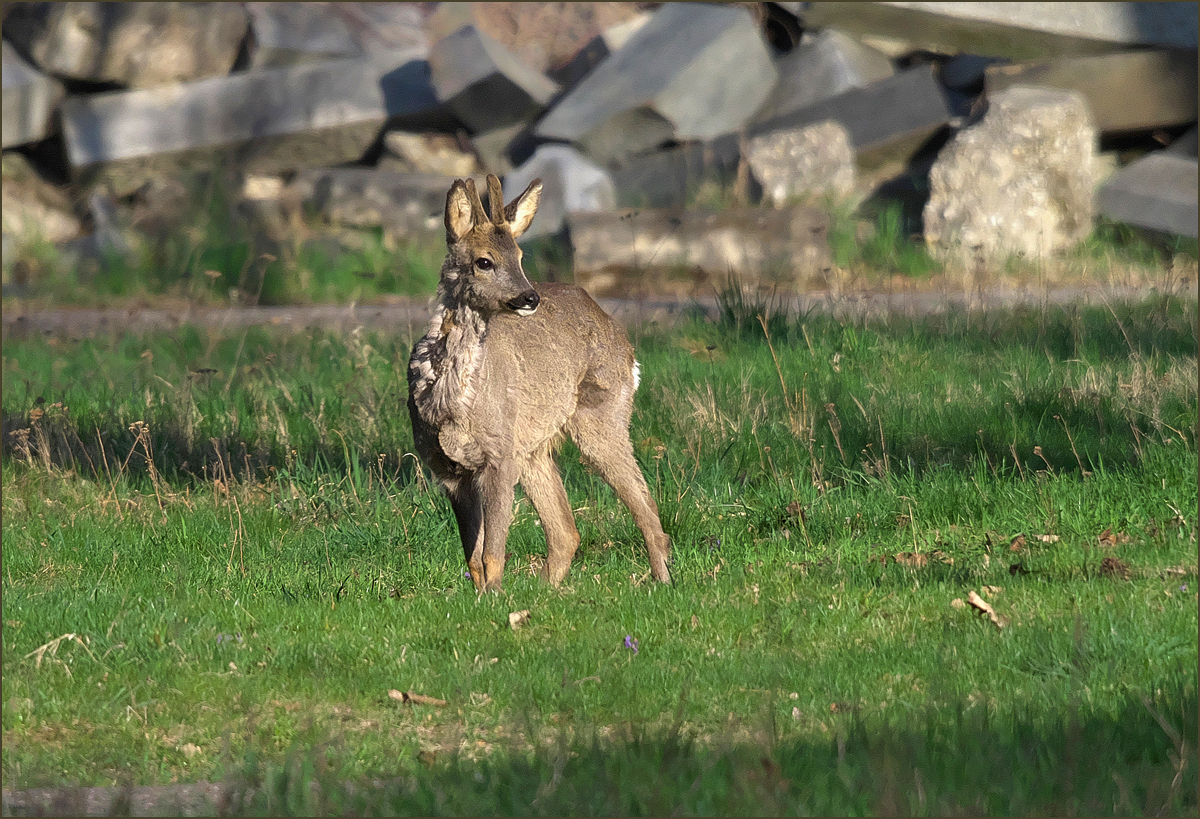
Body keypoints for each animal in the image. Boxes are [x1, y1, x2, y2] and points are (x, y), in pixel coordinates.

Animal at [408, 175, 672, 590]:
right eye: (484, 261)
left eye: (520, 256)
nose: (529, 297)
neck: (452, 403)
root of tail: (622, 338)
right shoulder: (448, 469)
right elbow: (473, 557)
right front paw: (483, 597)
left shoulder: (498, 456)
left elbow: (492, 553)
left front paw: (495, 598)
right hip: (532, 446)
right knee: (566, 531)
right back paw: (545, 589)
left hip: (601, 415)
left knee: (643, 504)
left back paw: (662, 581)